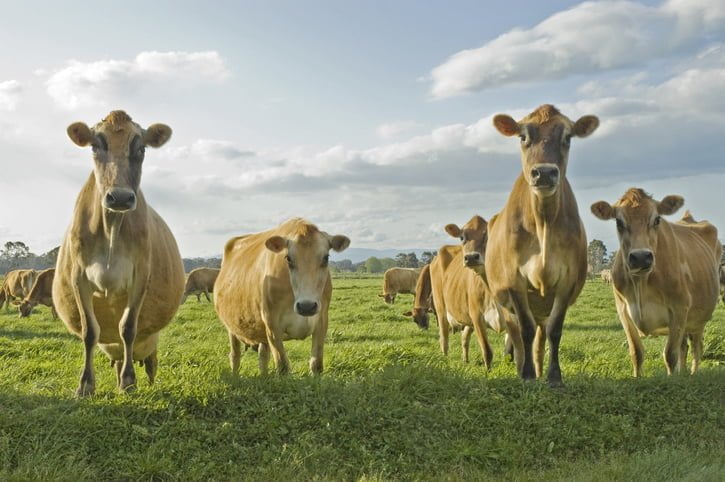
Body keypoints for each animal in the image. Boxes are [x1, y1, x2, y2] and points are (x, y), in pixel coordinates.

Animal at [53, 110, 185, 396]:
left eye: (141, 148)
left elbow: (128, 328)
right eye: (95, 146)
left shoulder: (140, 276)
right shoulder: (78, 277)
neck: (111, 228)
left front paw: (128, 380)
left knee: (148, 357)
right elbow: (90, 331)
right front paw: (85, 385)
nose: (121, 197)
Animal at [214, 218, 350, 376]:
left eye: (326, 258)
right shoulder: (272, 324)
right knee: (235, 355)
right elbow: (283, 367)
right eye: (288, 258)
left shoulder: (322, 321)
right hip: (231, 327)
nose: (306, 306)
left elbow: (316, 365)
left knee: (263, 355)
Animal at [486, 104, 599, 386]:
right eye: (522, 137)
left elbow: (555, 331)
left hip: (542, 307)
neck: (543, 223)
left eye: (567, 137)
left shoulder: (567, 280)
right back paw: (523, 367)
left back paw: (537, 368)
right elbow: (524, 331)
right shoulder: (514, 279)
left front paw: (553, 377)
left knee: (538, 340)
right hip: (504, 303)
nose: (545, 172)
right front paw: (526, 375)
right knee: (517, 336)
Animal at [591, 189, 722, 376]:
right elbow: (636, 353)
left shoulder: (679, 309)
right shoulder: (623, 311)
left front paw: (671, 378)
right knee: (684, 347)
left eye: (657, 219)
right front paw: (637, 378)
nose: (640, 257)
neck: (641, 284)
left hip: (699, 319)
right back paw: (683, 373)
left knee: (697, 348)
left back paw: (693, 374)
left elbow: (670, 356)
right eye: (618, 221)